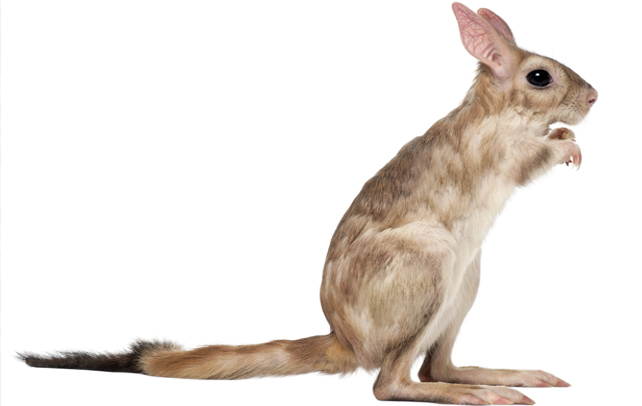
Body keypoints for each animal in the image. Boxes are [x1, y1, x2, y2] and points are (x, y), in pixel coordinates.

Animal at [20, 3, 597, 404]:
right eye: (540, 76)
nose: (595, 98)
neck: (495, 108)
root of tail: (344, 342)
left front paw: (569, 135)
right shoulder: (502, 153)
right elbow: (535, 158)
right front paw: (569, 146)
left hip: (466, 280)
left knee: (438, 365)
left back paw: (506, 377)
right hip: (430, 263)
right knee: (391, 382)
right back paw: (479, 392)